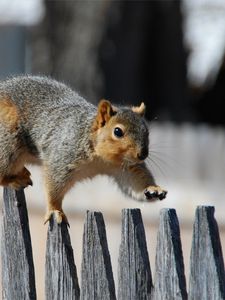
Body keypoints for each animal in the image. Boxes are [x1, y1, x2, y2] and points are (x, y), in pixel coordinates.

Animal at [0, 76, 167, 224]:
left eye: (147, 131)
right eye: (118, 131)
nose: (142, 154)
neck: (101, 159)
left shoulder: (125, 168)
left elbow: (134, 181)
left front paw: (153, 189)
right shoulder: (63, 158)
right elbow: (54, 186)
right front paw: (55, 210)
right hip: (9, 142)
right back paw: (14, 179)